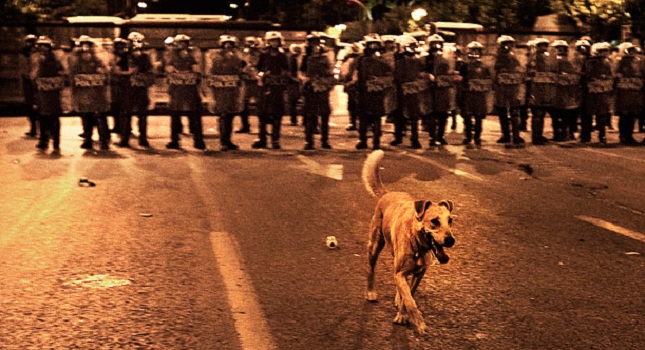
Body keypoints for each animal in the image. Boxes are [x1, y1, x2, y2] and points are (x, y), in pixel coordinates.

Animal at [360, 150, 456, 334]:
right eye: (435, 221)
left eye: (450, 221)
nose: (451, 240)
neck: (417, 243)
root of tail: (387, 193)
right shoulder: (400, 273)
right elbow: (409, 300)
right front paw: (416, 319)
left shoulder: (418, 274)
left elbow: (409, 294)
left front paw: (403, 313)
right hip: (375, 245)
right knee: (370, 269)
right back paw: (370, 292)